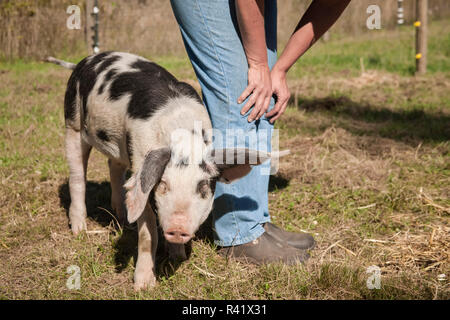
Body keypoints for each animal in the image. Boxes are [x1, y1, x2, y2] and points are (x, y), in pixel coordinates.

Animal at [51, 52, 280, 290]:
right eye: (162, 184)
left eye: (203, 185)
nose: (178, 226)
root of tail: (86, 61)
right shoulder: (141, 164)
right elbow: (147, 232)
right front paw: (143, 285)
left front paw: (178, 257)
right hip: (73, 122)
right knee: (77, 176)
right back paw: (79, 230)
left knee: (114, 167)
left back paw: (123, 220)